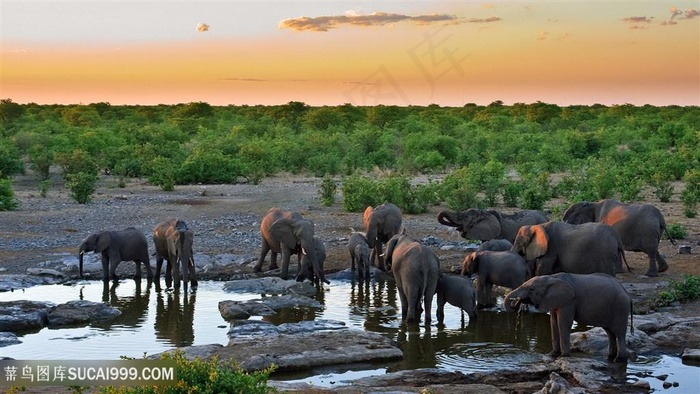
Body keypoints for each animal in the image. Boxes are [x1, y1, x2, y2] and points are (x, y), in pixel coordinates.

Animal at [504, 272, 636, 362]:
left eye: (531, 289)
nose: (516, 302)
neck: (552, 277)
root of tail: (627, 293)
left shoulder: (570, 302)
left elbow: (563, 323)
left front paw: (564, 356)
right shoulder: (555, 301)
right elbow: (553, 323)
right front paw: (552, 355)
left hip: (620, 307)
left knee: (619, 332)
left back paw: (619, 360)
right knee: (610, 332)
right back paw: (609, 358)